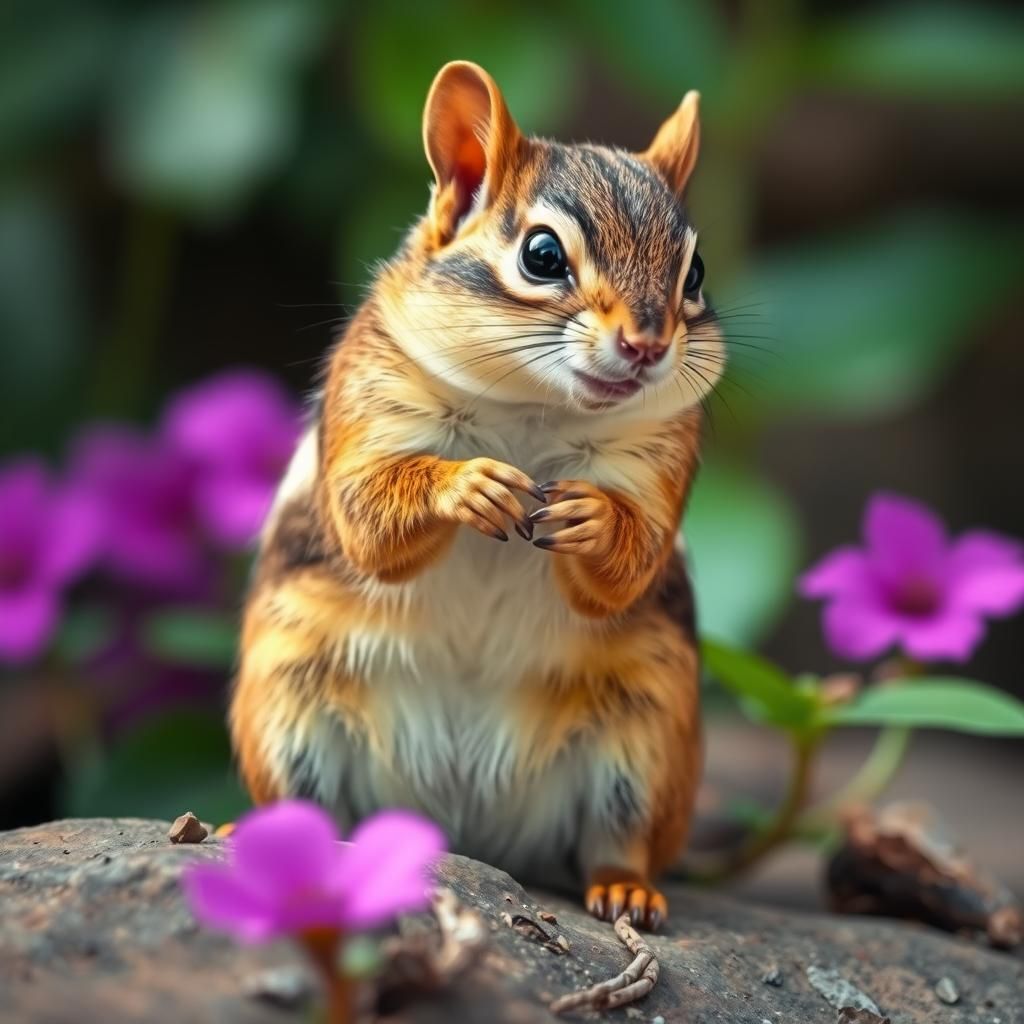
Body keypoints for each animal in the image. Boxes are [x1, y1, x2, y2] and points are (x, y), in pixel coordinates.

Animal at [231, 61, 724, 930]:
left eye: (693, 273)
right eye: (542, 255)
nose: (649, 344)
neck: (534, 410)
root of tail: (464, 825)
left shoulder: (664, 453)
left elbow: (628, 564)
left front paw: (594, 518)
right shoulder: (373, 396)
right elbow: (367, 518)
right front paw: (470, 484)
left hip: (648, 732)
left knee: (617, 840)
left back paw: (627, 888)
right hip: (285, 702)